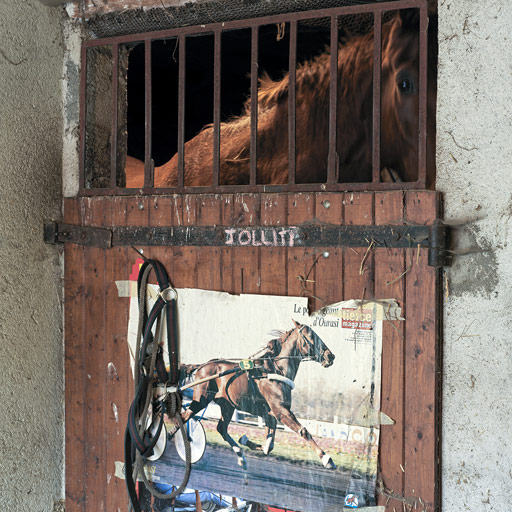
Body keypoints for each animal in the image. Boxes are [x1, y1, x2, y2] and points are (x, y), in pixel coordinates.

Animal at [179, 322, 336, 470]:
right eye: (312, 336)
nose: (330, 356)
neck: (276, 370)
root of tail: (202, 366)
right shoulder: (280, 410)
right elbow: (303, 431)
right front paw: (327, 459)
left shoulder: (270, 413)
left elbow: (268, 447)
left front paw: (244, 440)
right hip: (201, 399)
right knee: (185, 416)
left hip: (227, 405)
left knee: (221, 428)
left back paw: (241, 457)